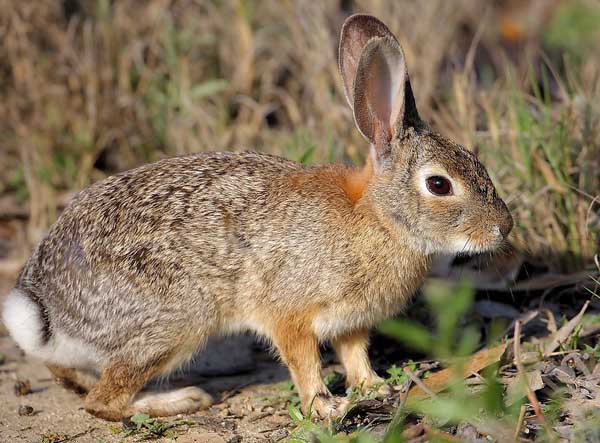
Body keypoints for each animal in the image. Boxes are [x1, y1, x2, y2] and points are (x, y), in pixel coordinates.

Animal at [2, 14, 512, 424]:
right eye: (439, 185)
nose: (503, 227)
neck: (378, 218)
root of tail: (46, 309)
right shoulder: (289, 312)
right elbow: (303, 362)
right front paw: (326, 407)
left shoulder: (350, 322)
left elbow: (354, 354)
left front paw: (372, 386)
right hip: (176, 320)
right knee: (104, 401)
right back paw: (180, 400)